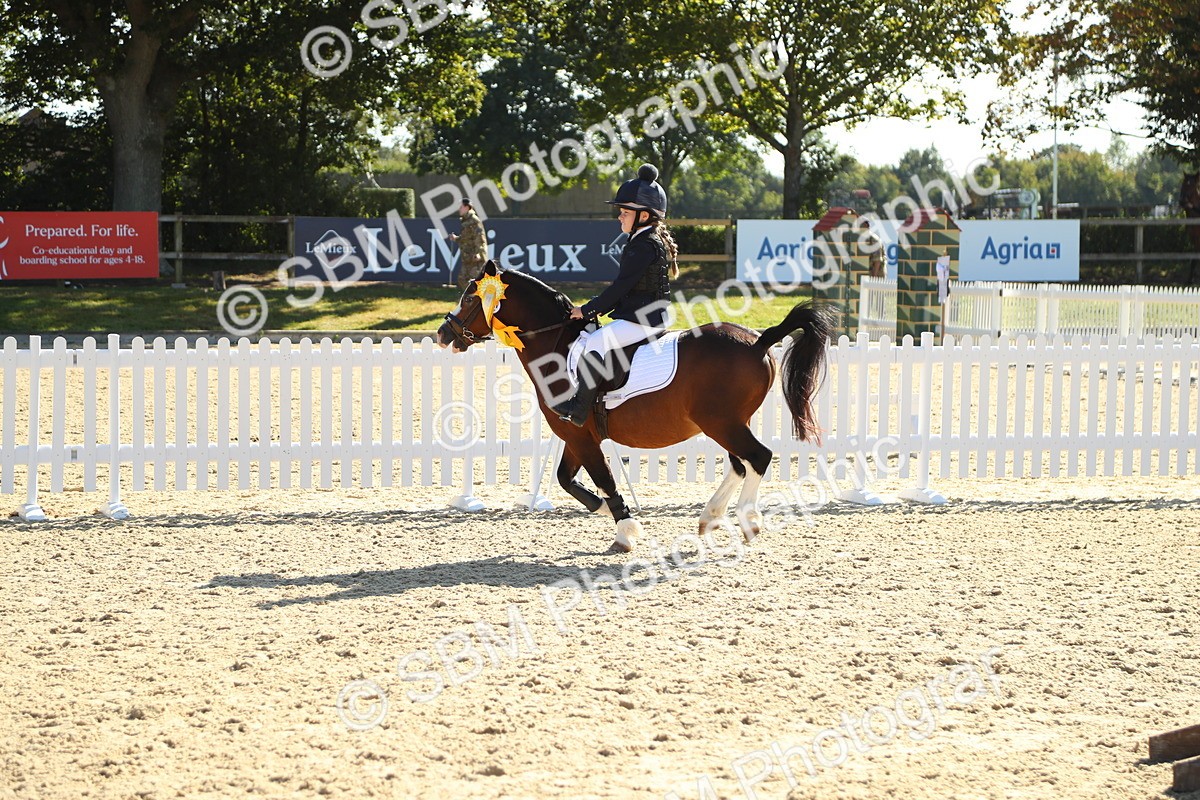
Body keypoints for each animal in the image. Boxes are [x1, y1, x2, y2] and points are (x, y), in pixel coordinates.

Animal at [437, 260, 835, 553]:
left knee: (758, 457)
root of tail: (758, 341)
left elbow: (603, 478)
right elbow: (566, 479)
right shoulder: (574, 436)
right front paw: (601, 509)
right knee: (741, 464)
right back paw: (710, 517)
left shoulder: (581, 436)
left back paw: (749, 521)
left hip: (722, 423)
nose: (443, 334)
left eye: (470, 299)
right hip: (728, 423)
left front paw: (625, 530)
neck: (556, 346)